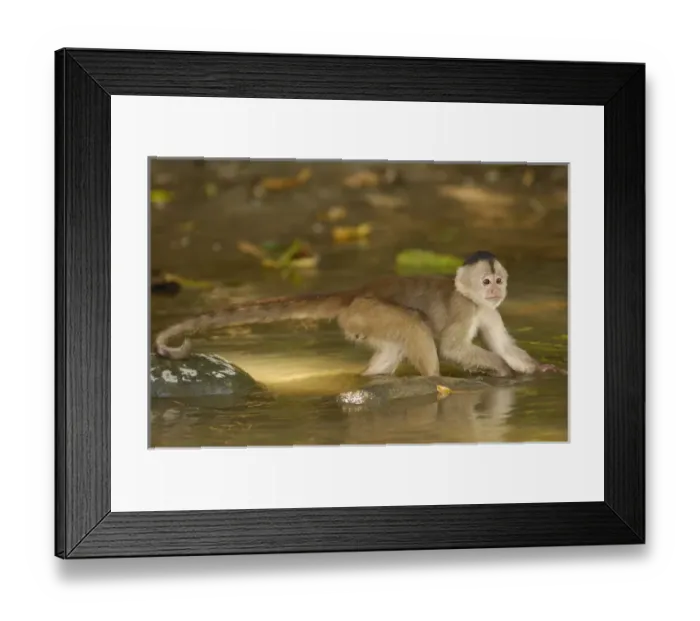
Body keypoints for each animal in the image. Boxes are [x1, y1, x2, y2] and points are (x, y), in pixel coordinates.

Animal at [154, 250, 561, 378]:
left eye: (498, 280)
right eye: (486, 280)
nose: (495, 290)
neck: (473, 298)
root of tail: (357, 291)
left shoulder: (488, 311)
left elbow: (503, 346)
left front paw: (538, 370)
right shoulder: (466, 308)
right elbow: (452, 348)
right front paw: (502, 370)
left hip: (363, 321)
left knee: (396, 345)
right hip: (368, 312)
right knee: (415, 327)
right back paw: (436, 381)